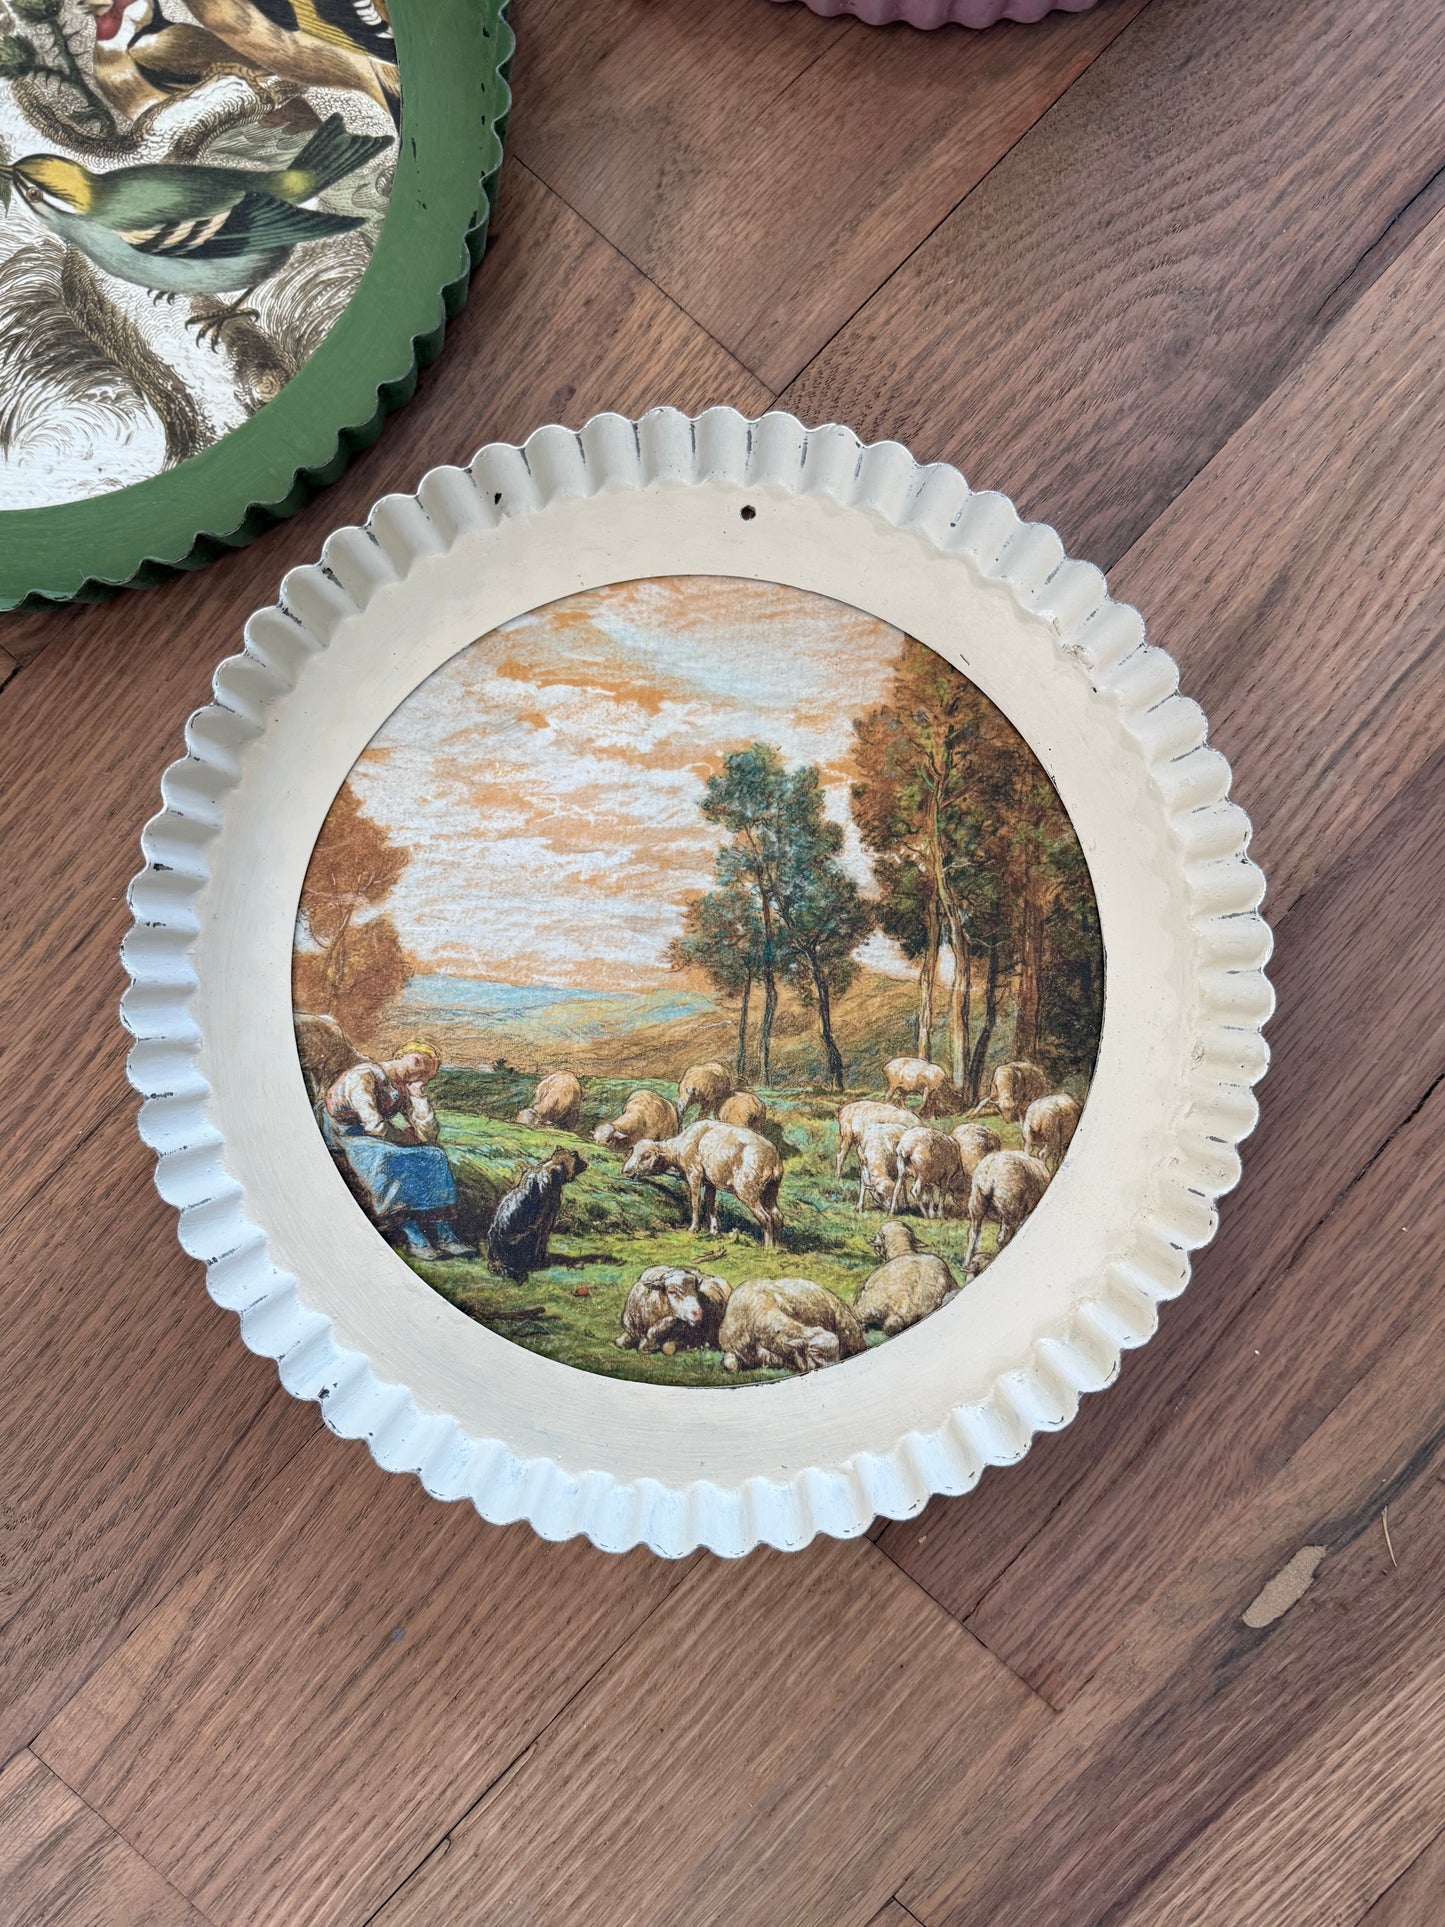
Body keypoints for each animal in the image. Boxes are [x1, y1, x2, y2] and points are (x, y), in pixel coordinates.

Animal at [623, 1120, 784, 1247]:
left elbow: (695, 1202)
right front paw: (713, 1230)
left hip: (746, 1189)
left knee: (766, 1217)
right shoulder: (710, 1182)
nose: (626, 1172)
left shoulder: (694, 1175)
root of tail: (773, 1158)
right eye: (633, 1152)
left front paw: (694, 1228)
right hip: (771, 1189)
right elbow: (709, 1204)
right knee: (778, 1216)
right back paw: (778, 1247)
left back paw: (767, 1248)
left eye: (646, 1156)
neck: (679, 1147)